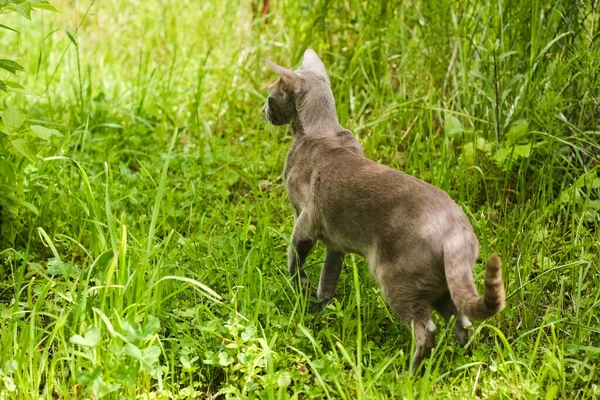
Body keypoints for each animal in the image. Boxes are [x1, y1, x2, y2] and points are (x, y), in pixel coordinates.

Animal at [264, 50, 504, 376]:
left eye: (270, 94)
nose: (264, 110)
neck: (321, 131)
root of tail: (457, 233)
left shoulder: (304, 221)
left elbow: (294, 258)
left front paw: (299, 294)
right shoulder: (335, 244)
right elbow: (328, 278)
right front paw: (318, 309)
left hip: (395, 278)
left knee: (427, 329)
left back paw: (409, 375)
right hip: (441, 283)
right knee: (461, 317)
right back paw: (461, 362)